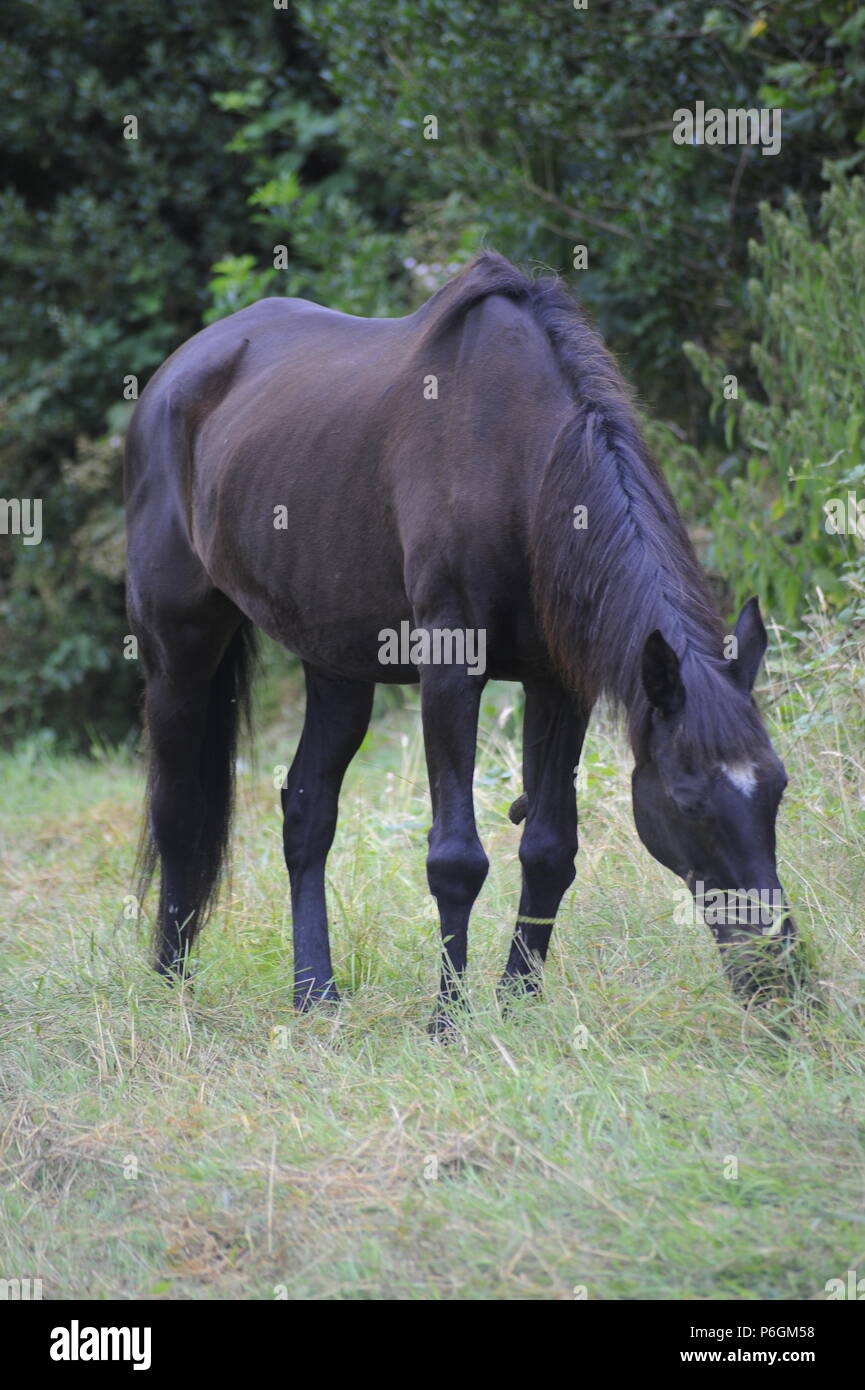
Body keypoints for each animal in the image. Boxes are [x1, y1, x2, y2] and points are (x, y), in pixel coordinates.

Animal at [125, 252, 801, 1034]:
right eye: (689, 801)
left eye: (776, 788)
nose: (780, 979)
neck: (519, 462)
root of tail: (173, 376)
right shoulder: (450, 667)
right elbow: (456, 860)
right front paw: (447, 1020)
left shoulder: (557, 683)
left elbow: (549, 849)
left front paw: (519, 1000)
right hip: (178, 650)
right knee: (178, 815)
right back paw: (169, 988)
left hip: (335, 664)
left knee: (306, 810)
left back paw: (315, 993)